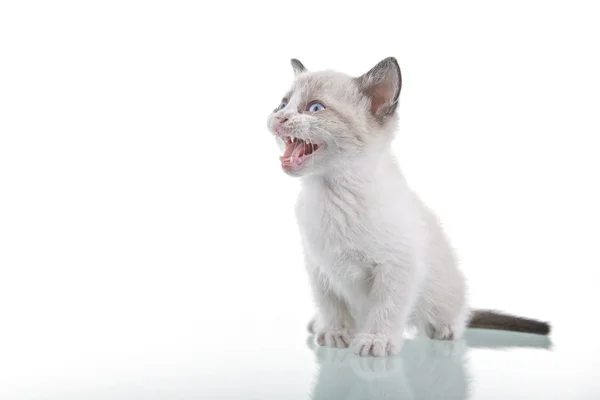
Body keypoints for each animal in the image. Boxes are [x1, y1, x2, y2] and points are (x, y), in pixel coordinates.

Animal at [264, 57, 552, 356]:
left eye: (315, 108)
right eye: (282, 104)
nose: (279, 117)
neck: (330, 195)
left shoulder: (398, 266)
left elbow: (386, 307)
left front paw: (375, 340)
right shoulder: (319, 267)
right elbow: (331, 305)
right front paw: (335, 332)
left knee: (458, 315)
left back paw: (444, 328)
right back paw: (320, 324)